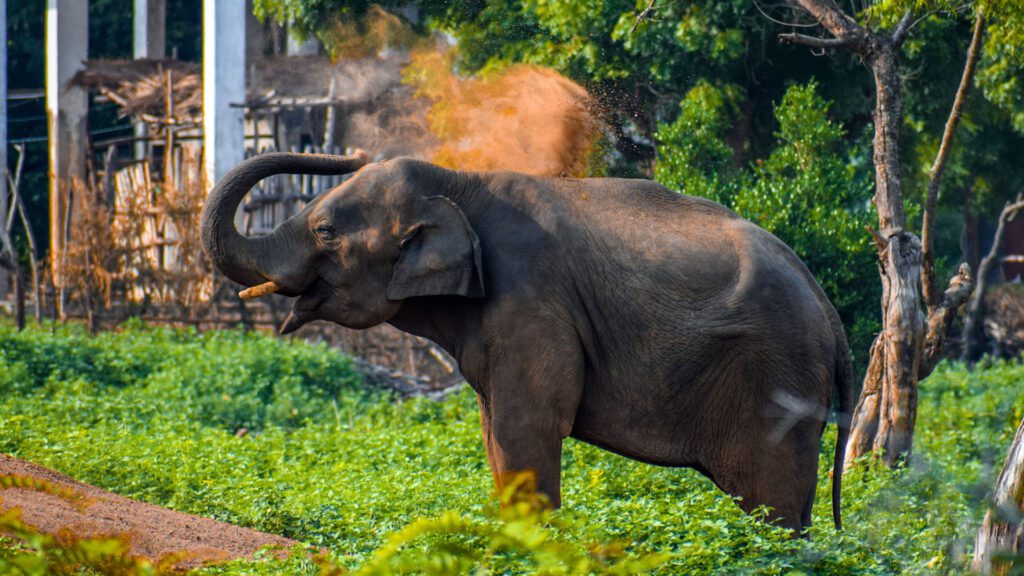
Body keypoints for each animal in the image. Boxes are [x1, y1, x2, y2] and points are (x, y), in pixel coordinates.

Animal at [200, 151, 853, 533]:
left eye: (325, 231)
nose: (351, 151)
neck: (457, 183)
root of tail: (833, 316)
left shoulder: (532, 302)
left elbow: (527, 428)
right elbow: (495, 433)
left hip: (777, 381)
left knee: (771, 502)